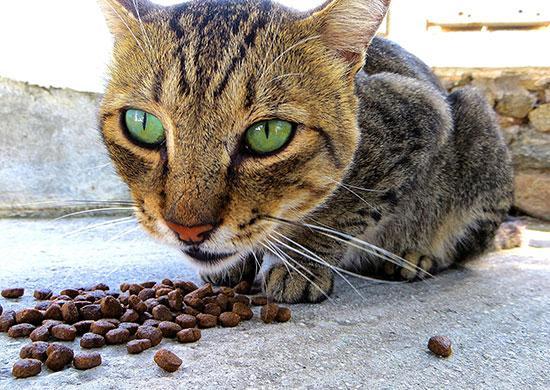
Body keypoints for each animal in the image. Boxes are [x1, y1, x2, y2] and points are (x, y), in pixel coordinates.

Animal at [99, 0, 516, 304]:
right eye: (142, 124)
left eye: (268, 134)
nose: (187, 229)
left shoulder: (422, 116)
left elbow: (341, 211)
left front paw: (299, 264)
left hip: (475, 122)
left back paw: (415, 256)